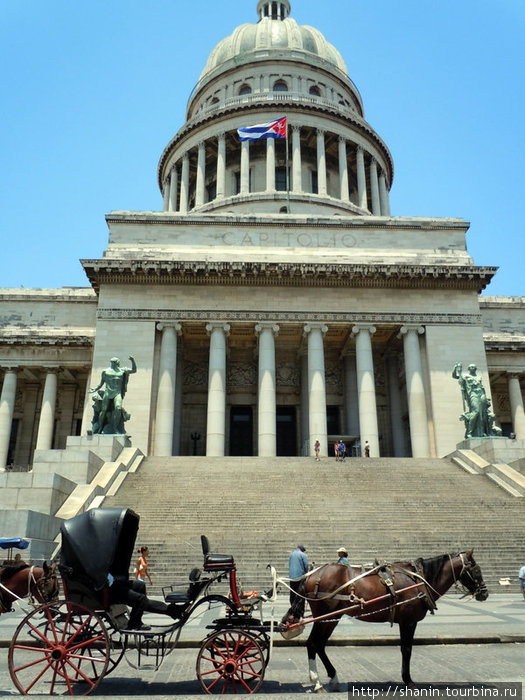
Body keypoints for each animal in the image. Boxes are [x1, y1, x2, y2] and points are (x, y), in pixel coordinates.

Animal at [296, 548, 490, 692]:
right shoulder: (409, 622)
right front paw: (408, 680)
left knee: (319, 644)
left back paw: (332, 678)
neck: (418, 579)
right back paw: (317, 682)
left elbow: (405, 649)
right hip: (328, 616)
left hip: (331, 617)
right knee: (313, 643)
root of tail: (312, 574)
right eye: (476, 570)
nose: (485, 593)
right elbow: (407, 650)